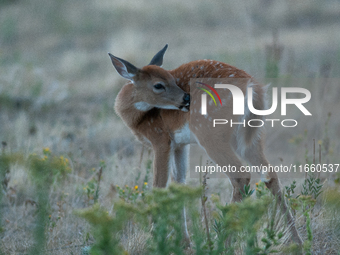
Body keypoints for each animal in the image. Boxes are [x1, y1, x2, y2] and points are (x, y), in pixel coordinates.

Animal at [107, 45, 302, 245]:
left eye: (170, 79)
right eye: (159, 84)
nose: (186, 98)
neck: (139, 118)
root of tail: (252, 88)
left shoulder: (160, 139)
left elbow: (159, 186)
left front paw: (155, 239)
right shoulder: (180, 144)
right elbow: (179, 183)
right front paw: (185, 241)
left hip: (210, 134)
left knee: (241, 176)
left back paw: (222, 242)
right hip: (250, 136)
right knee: (269, 174)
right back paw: (297, 241)